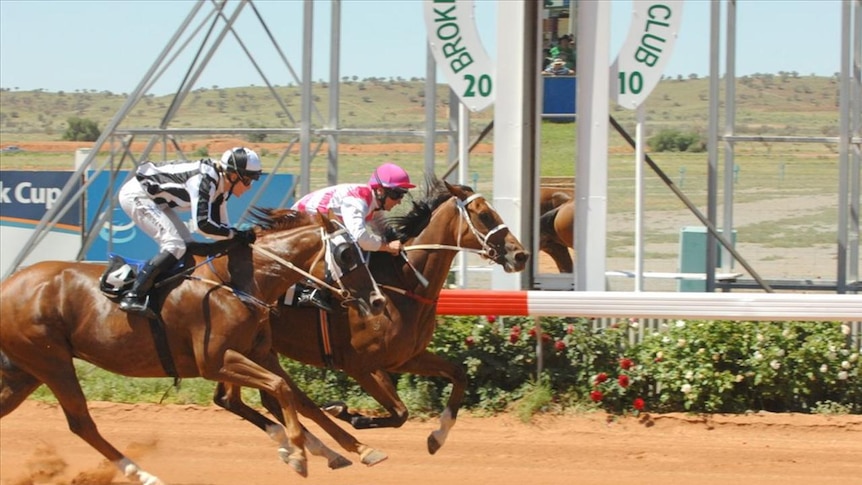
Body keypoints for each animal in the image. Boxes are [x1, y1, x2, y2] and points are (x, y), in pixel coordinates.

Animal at [0, 207, 386, 480]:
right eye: (347, 254)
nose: (378, 301)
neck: (239, 282)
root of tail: (8, 284)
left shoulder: (257, 352)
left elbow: (296, 397)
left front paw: (355, 450)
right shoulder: (214, 361)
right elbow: (279, 388)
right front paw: (298, 454)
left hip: (26, 371)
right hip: (52, 363)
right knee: (82, 423)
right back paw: (142, 473)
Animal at [214, 177, 528, 454]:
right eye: (485, 215)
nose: (521, 255)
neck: (404, 284)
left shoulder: (407, 357)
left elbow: (458, 375)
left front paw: (437, 437)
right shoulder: (360, 365)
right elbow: (399, 412)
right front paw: (344, 411)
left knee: (233, 399)